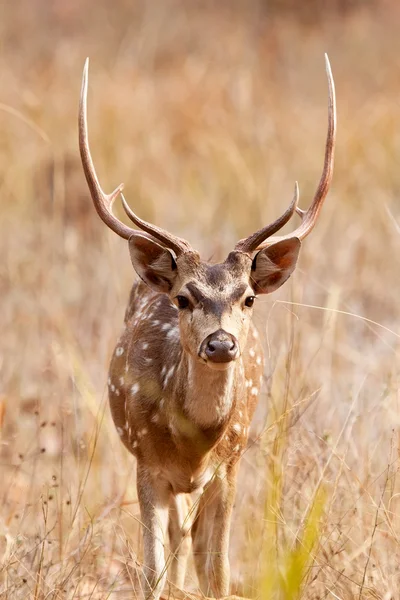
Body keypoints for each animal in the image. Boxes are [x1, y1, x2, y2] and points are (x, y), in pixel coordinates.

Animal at [78, 55, 334, 596]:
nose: (221, 343)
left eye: (249, 298)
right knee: (176, 543)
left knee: (192, 545)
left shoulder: (230, 466)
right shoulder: (147, 464)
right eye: (182, 298)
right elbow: (153, 572)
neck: (194, 446)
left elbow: (218, 573)